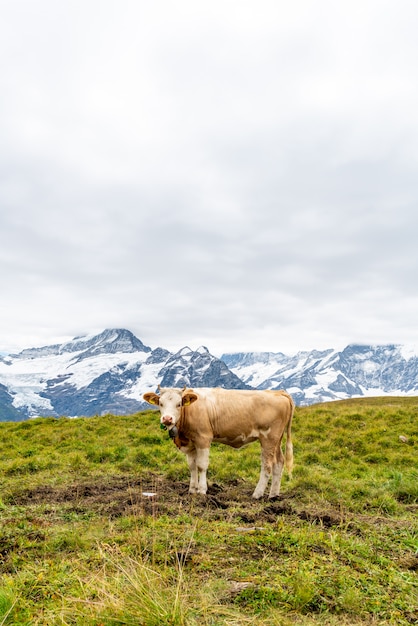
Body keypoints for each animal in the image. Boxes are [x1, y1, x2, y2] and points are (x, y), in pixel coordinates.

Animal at [142, 386, 292, 498]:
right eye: (161, 403)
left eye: (179, 404)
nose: (167, 419)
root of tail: (278, 392)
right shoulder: (190, 444)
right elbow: (192, 466)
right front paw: (192, 489)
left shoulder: (203, 438)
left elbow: (201, 466)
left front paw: (202, 490)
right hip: (277, 440)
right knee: (279, 462)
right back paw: (273, 495)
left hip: (268, 439)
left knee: (267, 465)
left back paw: (257, 494)